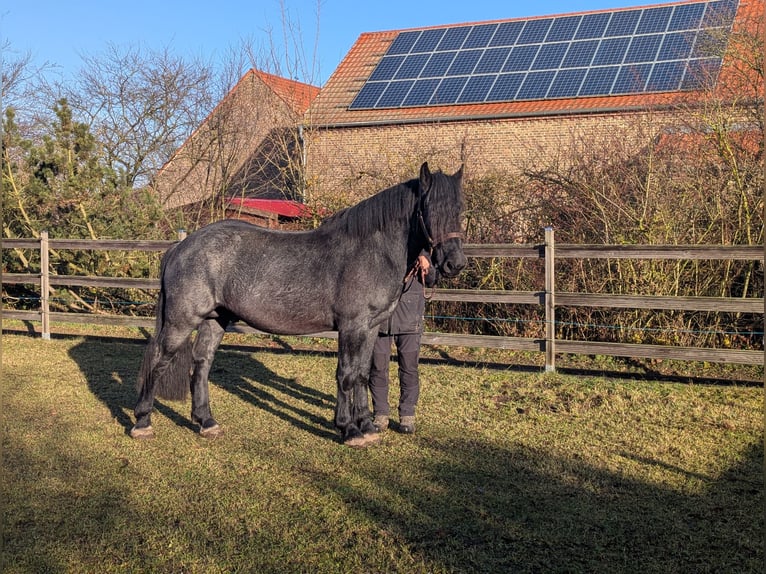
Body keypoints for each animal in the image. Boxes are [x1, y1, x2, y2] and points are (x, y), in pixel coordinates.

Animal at [131, 162, 466, 447]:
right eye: (429, 209)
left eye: (460, 210)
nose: (455, 264)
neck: (370, 251)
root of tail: (181, 247)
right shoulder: (352, 327)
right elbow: (346, 373)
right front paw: (348, 429)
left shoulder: (371, 328)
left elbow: (362, 374)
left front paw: (368, 426)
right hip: (181, 320)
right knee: (159, 359)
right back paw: (142, 421)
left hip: (216, 319)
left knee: (202, 363)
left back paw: (206, 422)